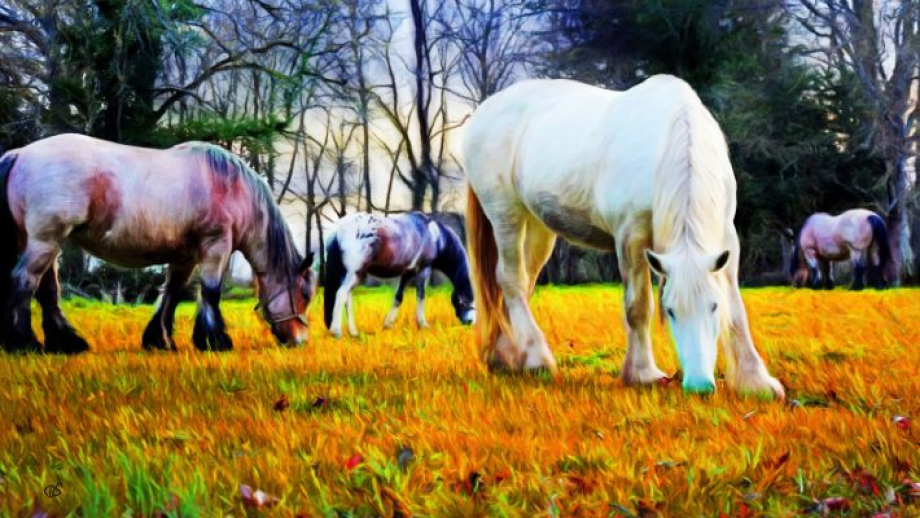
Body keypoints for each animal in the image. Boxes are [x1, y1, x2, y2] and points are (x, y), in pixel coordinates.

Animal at [0, 133, 316, 358]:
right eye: (304, 294)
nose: (300, 340)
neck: (231, 186)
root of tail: (19, 154)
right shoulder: (216, 248)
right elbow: (210, 292)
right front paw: (215, 340)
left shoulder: (184, 257)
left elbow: (171, 294)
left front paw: (159, 341)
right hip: (45, 241)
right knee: (25, 282)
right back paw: (23, 343)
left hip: (40, 242)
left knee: (47, 290)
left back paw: (65, 343)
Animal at [326, 213, 474, 340]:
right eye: (465, 301)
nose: (470, 322)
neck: (436, 237)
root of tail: (338, 229)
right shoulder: (423, 270)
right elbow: (421, 296)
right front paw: (423, 324)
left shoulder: (407, 273)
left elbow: (398, 297)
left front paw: (388, 324)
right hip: (354, 273)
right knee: (341, 295)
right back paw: (336, 332)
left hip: (350, 274)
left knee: (347, 299)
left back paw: (354, 333)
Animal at [468, 75, 784, 398]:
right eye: (671, 311)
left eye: (713, 306)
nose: (698, 386)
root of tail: (485, 109)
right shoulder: (630, 237)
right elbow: (639, 307)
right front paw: (643, 374)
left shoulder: (725, 240)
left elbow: (736, 311)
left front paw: (755, 382)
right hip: (505, 212)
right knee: (510, 279)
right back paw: (535, 358)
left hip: (538, 227)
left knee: (522, 282)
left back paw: (505, 358)